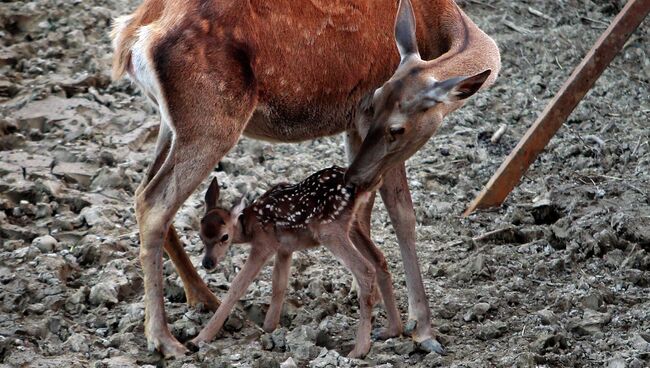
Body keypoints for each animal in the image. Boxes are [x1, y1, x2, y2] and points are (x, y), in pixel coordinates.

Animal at [192, 167, 402, 356]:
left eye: (224, 237)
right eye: (200, 236)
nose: (207, 263)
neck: (249, 226)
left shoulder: (263, 245)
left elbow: (237, 286)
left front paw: (200, 338)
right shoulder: (285, 249)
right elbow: (279, 285)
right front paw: (269, 327)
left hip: (329, 228)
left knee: (365, 270)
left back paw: (359, 350)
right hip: (353, 224)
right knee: (380, 260)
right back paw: (392, 330)